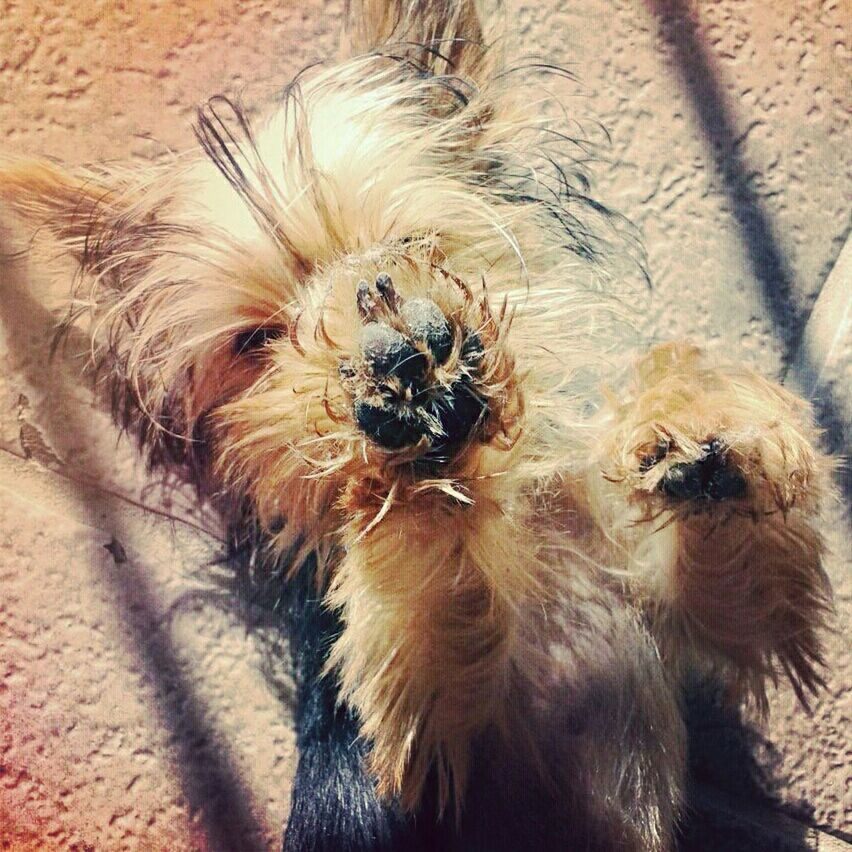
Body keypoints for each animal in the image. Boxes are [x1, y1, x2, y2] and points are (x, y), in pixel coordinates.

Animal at [0, 0, 832, 848]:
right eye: (255, 343)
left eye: (411, 246)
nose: (388, 346)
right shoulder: (435, 754)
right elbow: (434, 614)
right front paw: (405, 454)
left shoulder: (678, 614)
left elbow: (734, 587)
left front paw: (692, 416)